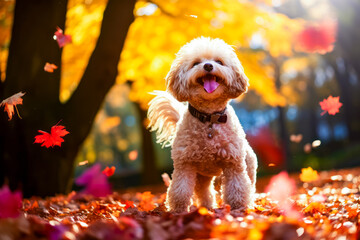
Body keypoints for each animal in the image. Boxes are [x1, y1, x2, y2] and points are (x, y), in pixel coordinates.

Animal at [148, 36, 258, 213]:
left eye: (219, 61)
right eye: (196, 63)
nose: (208, 65)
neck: (209, 118)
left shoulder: (233, 163)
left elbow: (237, 187)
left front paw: (238, 209)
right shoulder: (184, 165)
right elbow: (180, 189)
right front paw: (178, 210)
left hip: (248, 165)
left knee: (249, 186)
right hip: (201, 176)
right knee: (204, 191)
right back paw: (206, 207)